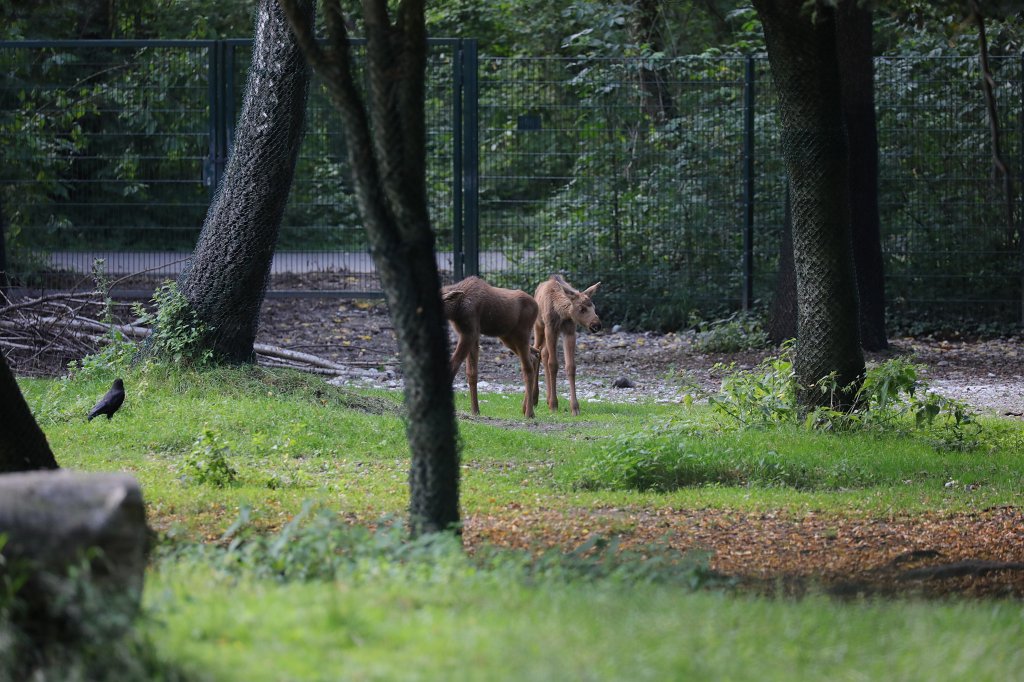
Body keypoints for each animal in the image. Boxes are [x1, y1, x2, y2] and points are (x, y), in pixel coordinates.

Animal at [441, 276, 540, 418]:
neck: (455, 310)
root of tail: (537, 306)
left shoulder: (470, 333)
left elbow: (453, 366)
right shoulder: (472, 334)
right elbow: (472, 373)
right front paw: (475, 410)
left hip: (522, 335)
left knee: (527, 368)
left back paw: (529, 412)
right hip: (507, 337)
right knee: (535, 355)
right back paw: (526, 406)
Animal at [531, 274, 602, 416]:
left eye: (593, 307)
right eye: (582, 308)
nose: (597, 325)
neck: (562, 314)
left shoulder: (569, 331)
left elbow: (571, 366)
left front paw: (575, 407)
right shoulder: (550, 329)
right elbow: (553, 364)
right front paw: (554, 405)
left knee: (544, 353)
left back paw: (547, 398)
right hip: (539, 326)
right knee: (536, 352)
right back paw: (535, 399)